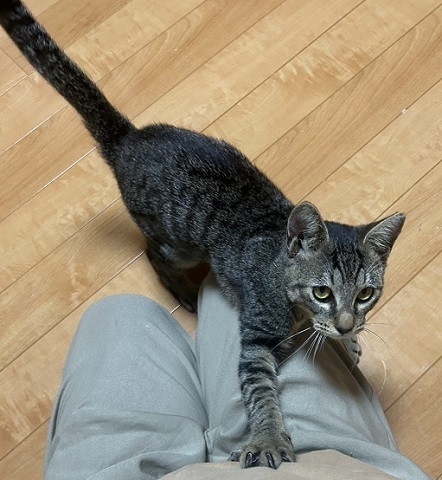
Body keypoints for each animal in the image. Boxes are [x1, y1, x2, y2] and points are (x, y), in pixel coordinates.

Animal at [0, 0, 405, 469]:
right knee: (153, 254)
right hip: (180, 245)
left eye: (365, 294)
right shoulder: (256, 343)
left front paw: (351, 342)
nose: (344, 324)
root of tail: (129, 140)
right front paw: (268, 437)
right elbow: (262, 391)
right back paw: (182, 291)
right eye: (322, 292)